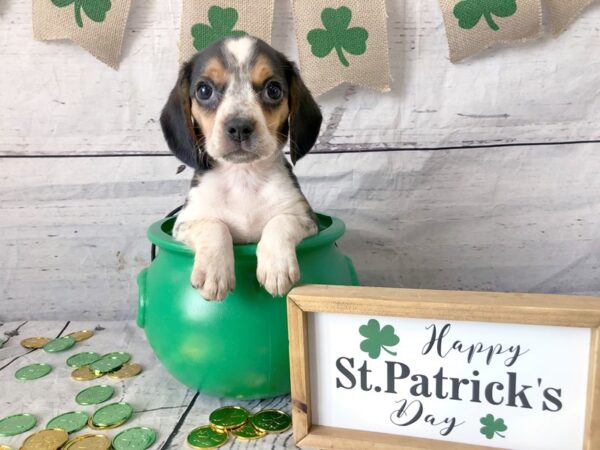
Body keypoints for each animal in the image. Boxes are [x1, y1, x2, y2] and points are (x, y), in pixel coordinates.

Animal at [159, 36, 324, 302]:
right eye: (204, 90)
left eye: (273, 90)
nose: (239, 127)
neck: (243, 176)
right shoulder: (184, 223)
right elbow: (214, 226)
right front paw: (214, 273)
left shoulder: (307, 219)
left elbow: (280, 221)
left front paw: (276, 267)